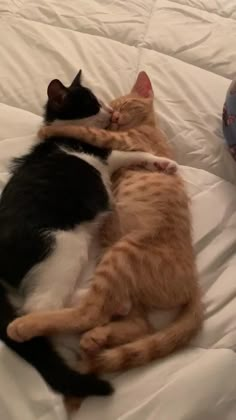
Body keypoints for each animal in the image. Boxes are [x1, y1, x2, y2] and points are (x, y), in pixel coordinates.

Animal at [7, 71, 203, 370]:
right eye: (96, 104)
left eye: (117, 104)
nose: (112, 114)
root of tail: (192, 283)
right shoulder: (113, 146)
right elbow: (111, 142)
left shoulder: (118, 142)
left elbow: (102, 138)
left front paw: (162, 163)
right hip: (84, 252)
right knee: (106, 315)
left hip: (119, 255)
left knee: (108, 314)